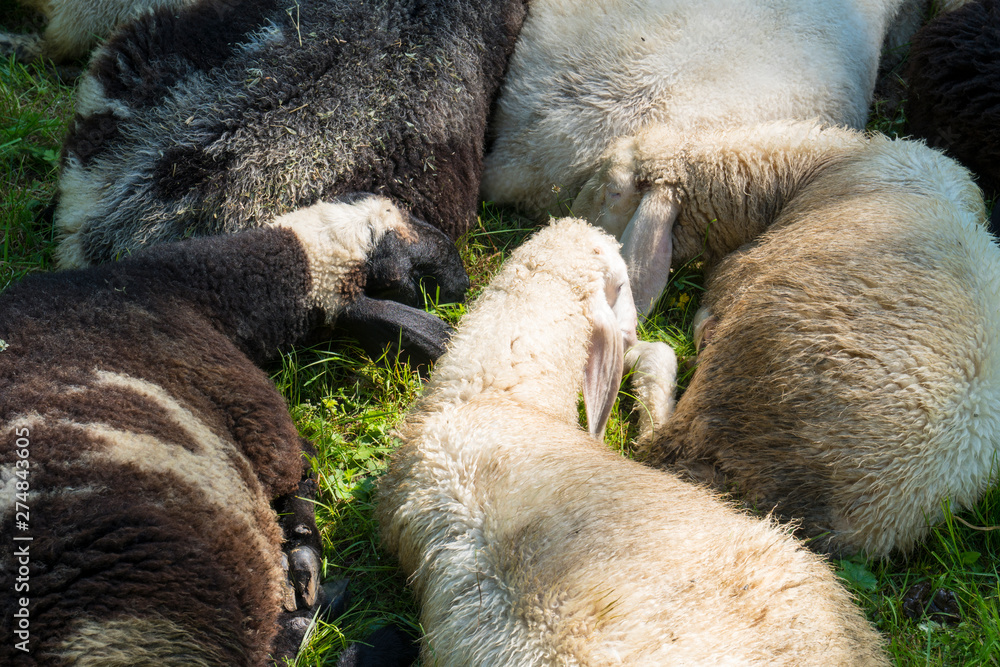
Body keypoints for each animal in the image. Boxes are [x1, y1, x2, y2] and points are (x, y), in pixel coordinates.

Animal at [0, 193, 467, 666]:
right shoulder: (259, 419)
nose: (465, 284)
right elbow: (303, 464)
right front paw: (303, 557)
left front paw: (300, 556)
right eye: (414, 228)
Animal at [602, 119, 1000, 557]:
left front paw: (702, 325)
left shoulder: (743, 271)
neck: (813, 166)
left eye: (612, 189)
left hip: (744, 377)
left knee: (656, 441)